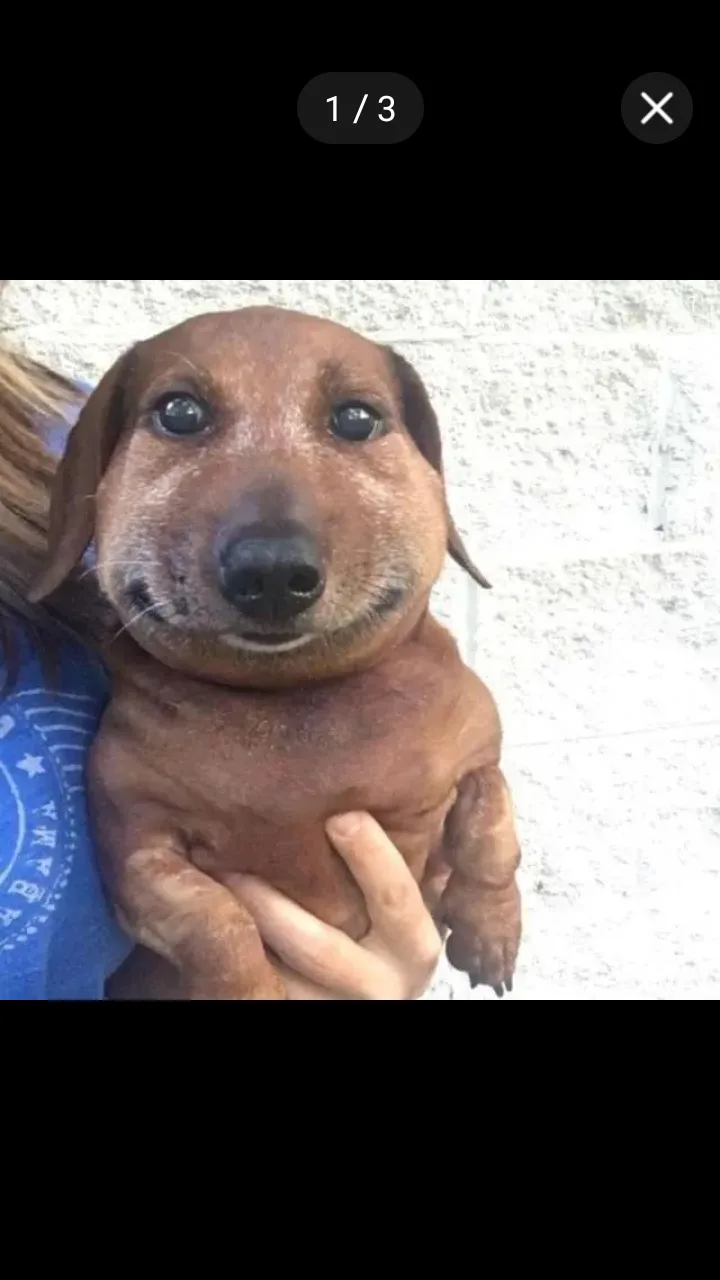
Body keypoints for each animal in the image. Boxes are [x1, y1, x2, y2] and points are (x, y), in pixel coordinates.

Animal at [30, 306, 522, 999]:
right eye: (180, 412)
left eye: (356, 418)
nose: (271, 572)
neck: (292, 699)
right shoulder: (138, 852)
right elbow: (215, 922)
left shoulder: (480, 756)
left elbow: (492, 832)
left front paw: (490, 929)